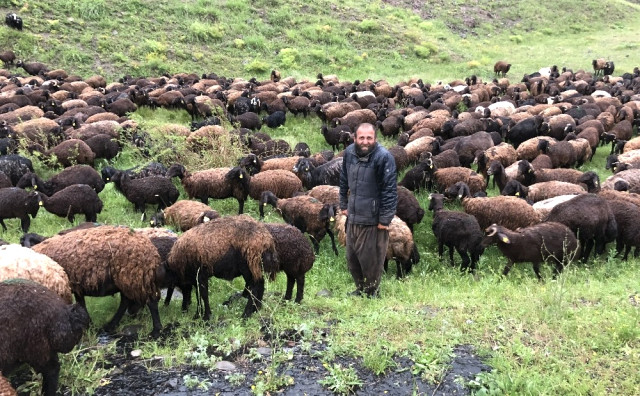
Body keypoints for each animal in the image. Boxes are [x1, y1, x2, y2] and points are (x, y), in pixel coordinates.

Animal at [32, 226, 165, 338]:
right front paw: (89, 326)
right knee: (125, 301)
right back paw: (110, 326)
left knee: (151, 301)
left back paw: (156, 331)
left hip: (135, 277)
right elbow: (81, 305)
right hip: (128, 280)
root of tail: (152, 251)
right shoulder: (77, 287)